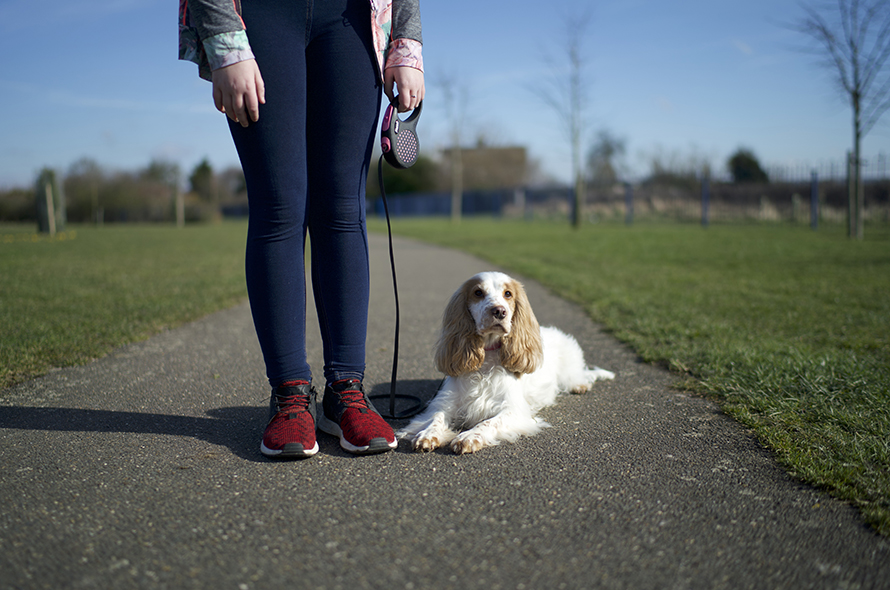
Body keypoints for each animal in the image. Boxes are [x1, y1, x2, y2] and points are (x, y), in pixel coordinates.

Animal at [400, 270, 612, 456]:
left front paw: (469, 436)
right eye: (478, 292)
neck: (487, 357)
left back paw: (581, 385)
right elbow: (436, 418)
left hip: (569, 367)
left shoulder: (513, 410)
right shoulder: (444, 402)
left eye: (508, 294)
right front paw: (428, 435)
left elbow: (488, 422)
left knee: (580, 375)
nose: (499, 311)